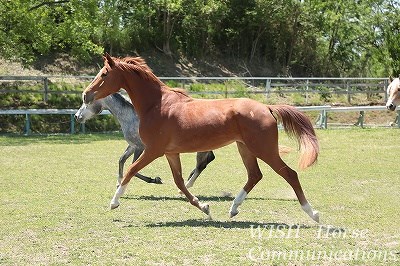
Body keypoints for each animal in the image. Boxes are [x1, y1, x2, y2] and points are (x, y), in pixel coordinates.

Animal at [73, 92, 214, 188]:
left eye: (87, 101)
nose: (76, 116)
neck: (132, 118)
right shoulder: (132, 145)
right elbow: (121, 160)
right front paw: (119, 182)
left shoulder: (141, 147)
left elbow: (133, 168)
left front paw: (155, 179)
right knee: (208, 159)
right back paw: (189, 177)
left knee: (202, 163)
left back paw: (188, 183)